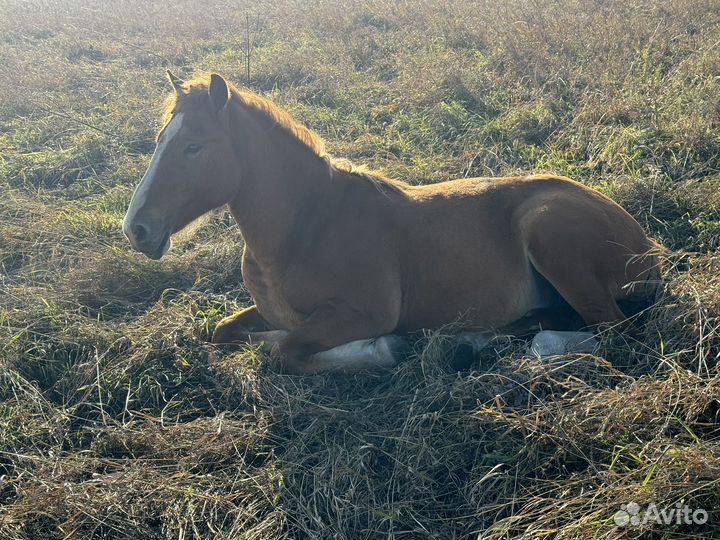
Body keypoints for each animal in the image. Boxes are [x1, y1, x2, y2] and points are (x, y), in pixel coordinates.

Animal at [123, 71, 660, 374]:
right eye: (160, 138)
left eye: (194, 146)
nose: (137, 229)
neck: (304, 230)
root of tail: (647, 245)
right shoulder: (271, 311)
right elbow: (224, 331)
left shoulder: (362, 314)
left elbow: (286, 350)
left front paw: (381, 349)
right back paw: (480, 341)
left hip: (548, 233)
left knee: (612, 330)